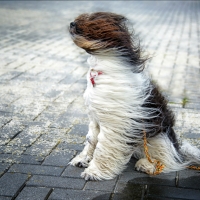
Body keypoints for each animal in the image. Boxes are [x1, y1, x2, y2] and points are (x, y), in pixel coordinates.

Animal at [68, 11, 200, 180]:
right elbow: (91, 140)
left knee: (168, 160)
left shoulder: (114, 124)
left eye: (91, 22)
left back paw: (148, 165)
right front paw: (83, 159)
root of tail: (178, 150)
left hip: (158, 138)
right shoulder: (95, 119)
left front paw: (94, 171)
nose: (72, 23)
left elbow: (102, 147)